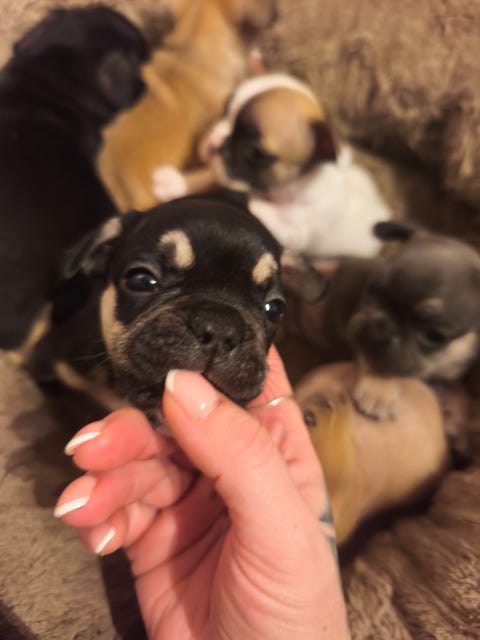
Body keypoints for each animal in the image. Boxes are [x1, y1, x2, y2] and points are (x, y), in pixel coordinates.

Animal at [152, 72, 393, 258]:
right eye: (224, 111)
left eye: (255, 153)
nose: (213, 143)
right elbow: (210, 177)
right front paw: (174, 184)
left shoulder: (294, 231)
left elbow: (255, 205)